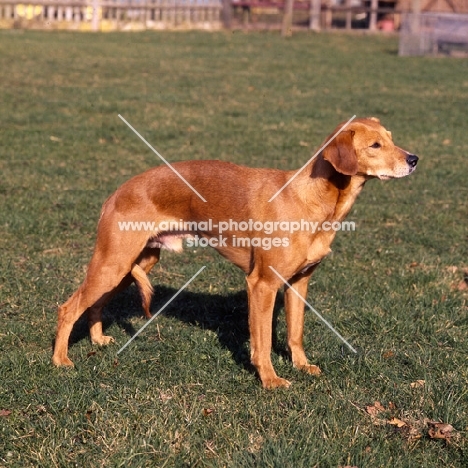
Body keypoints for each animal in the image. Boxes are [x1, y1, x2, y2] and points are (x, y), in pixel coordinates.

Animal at [53, 117, 418, 388]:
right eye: (375, 145)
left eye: (391, 138)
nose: (414, 159)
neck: (312, 199)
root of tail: (116, 192)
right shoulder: (261, 285)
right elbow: (263, 341)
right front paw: (270, 380)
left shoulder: (298, 284)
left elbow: (295, 333)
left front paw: (302, 366)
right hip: (113, 264)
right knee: (68, 308)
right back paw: (60, 359)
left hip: (132, 265)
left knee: (95, 304)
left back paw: (97, 340)